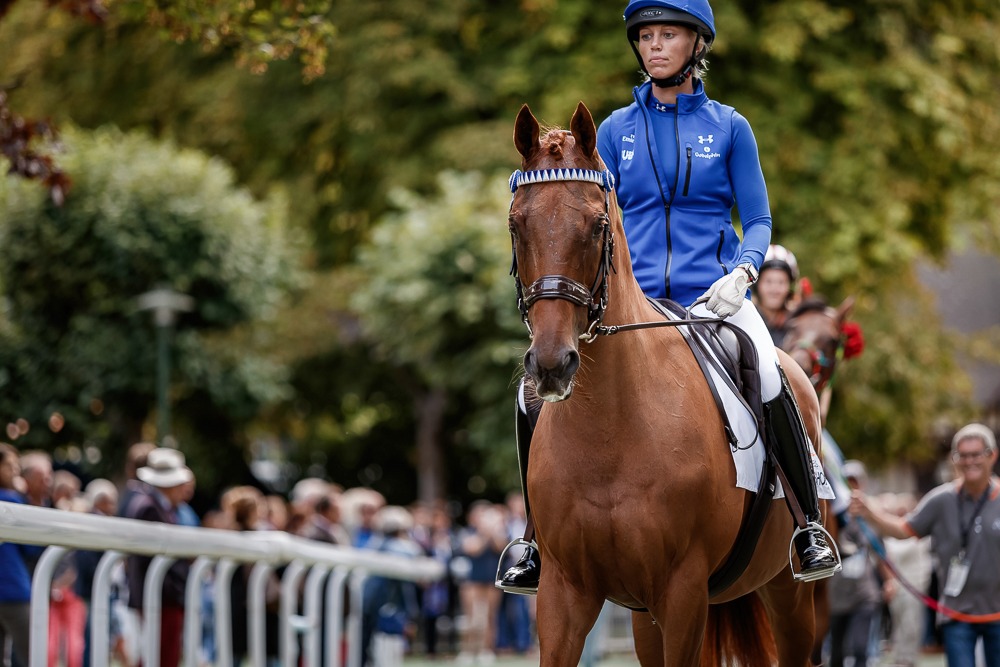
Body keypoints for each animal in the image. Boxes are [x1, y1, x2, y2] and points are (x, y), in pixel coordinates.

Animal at [512, 100, 824, 667]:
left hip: (787, 593)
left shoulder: (682, 593)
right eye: (516, 224)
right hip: (643, 614)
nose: (551, 365)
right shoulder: (565, 594)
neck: (610, 427)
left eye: (596, 226)